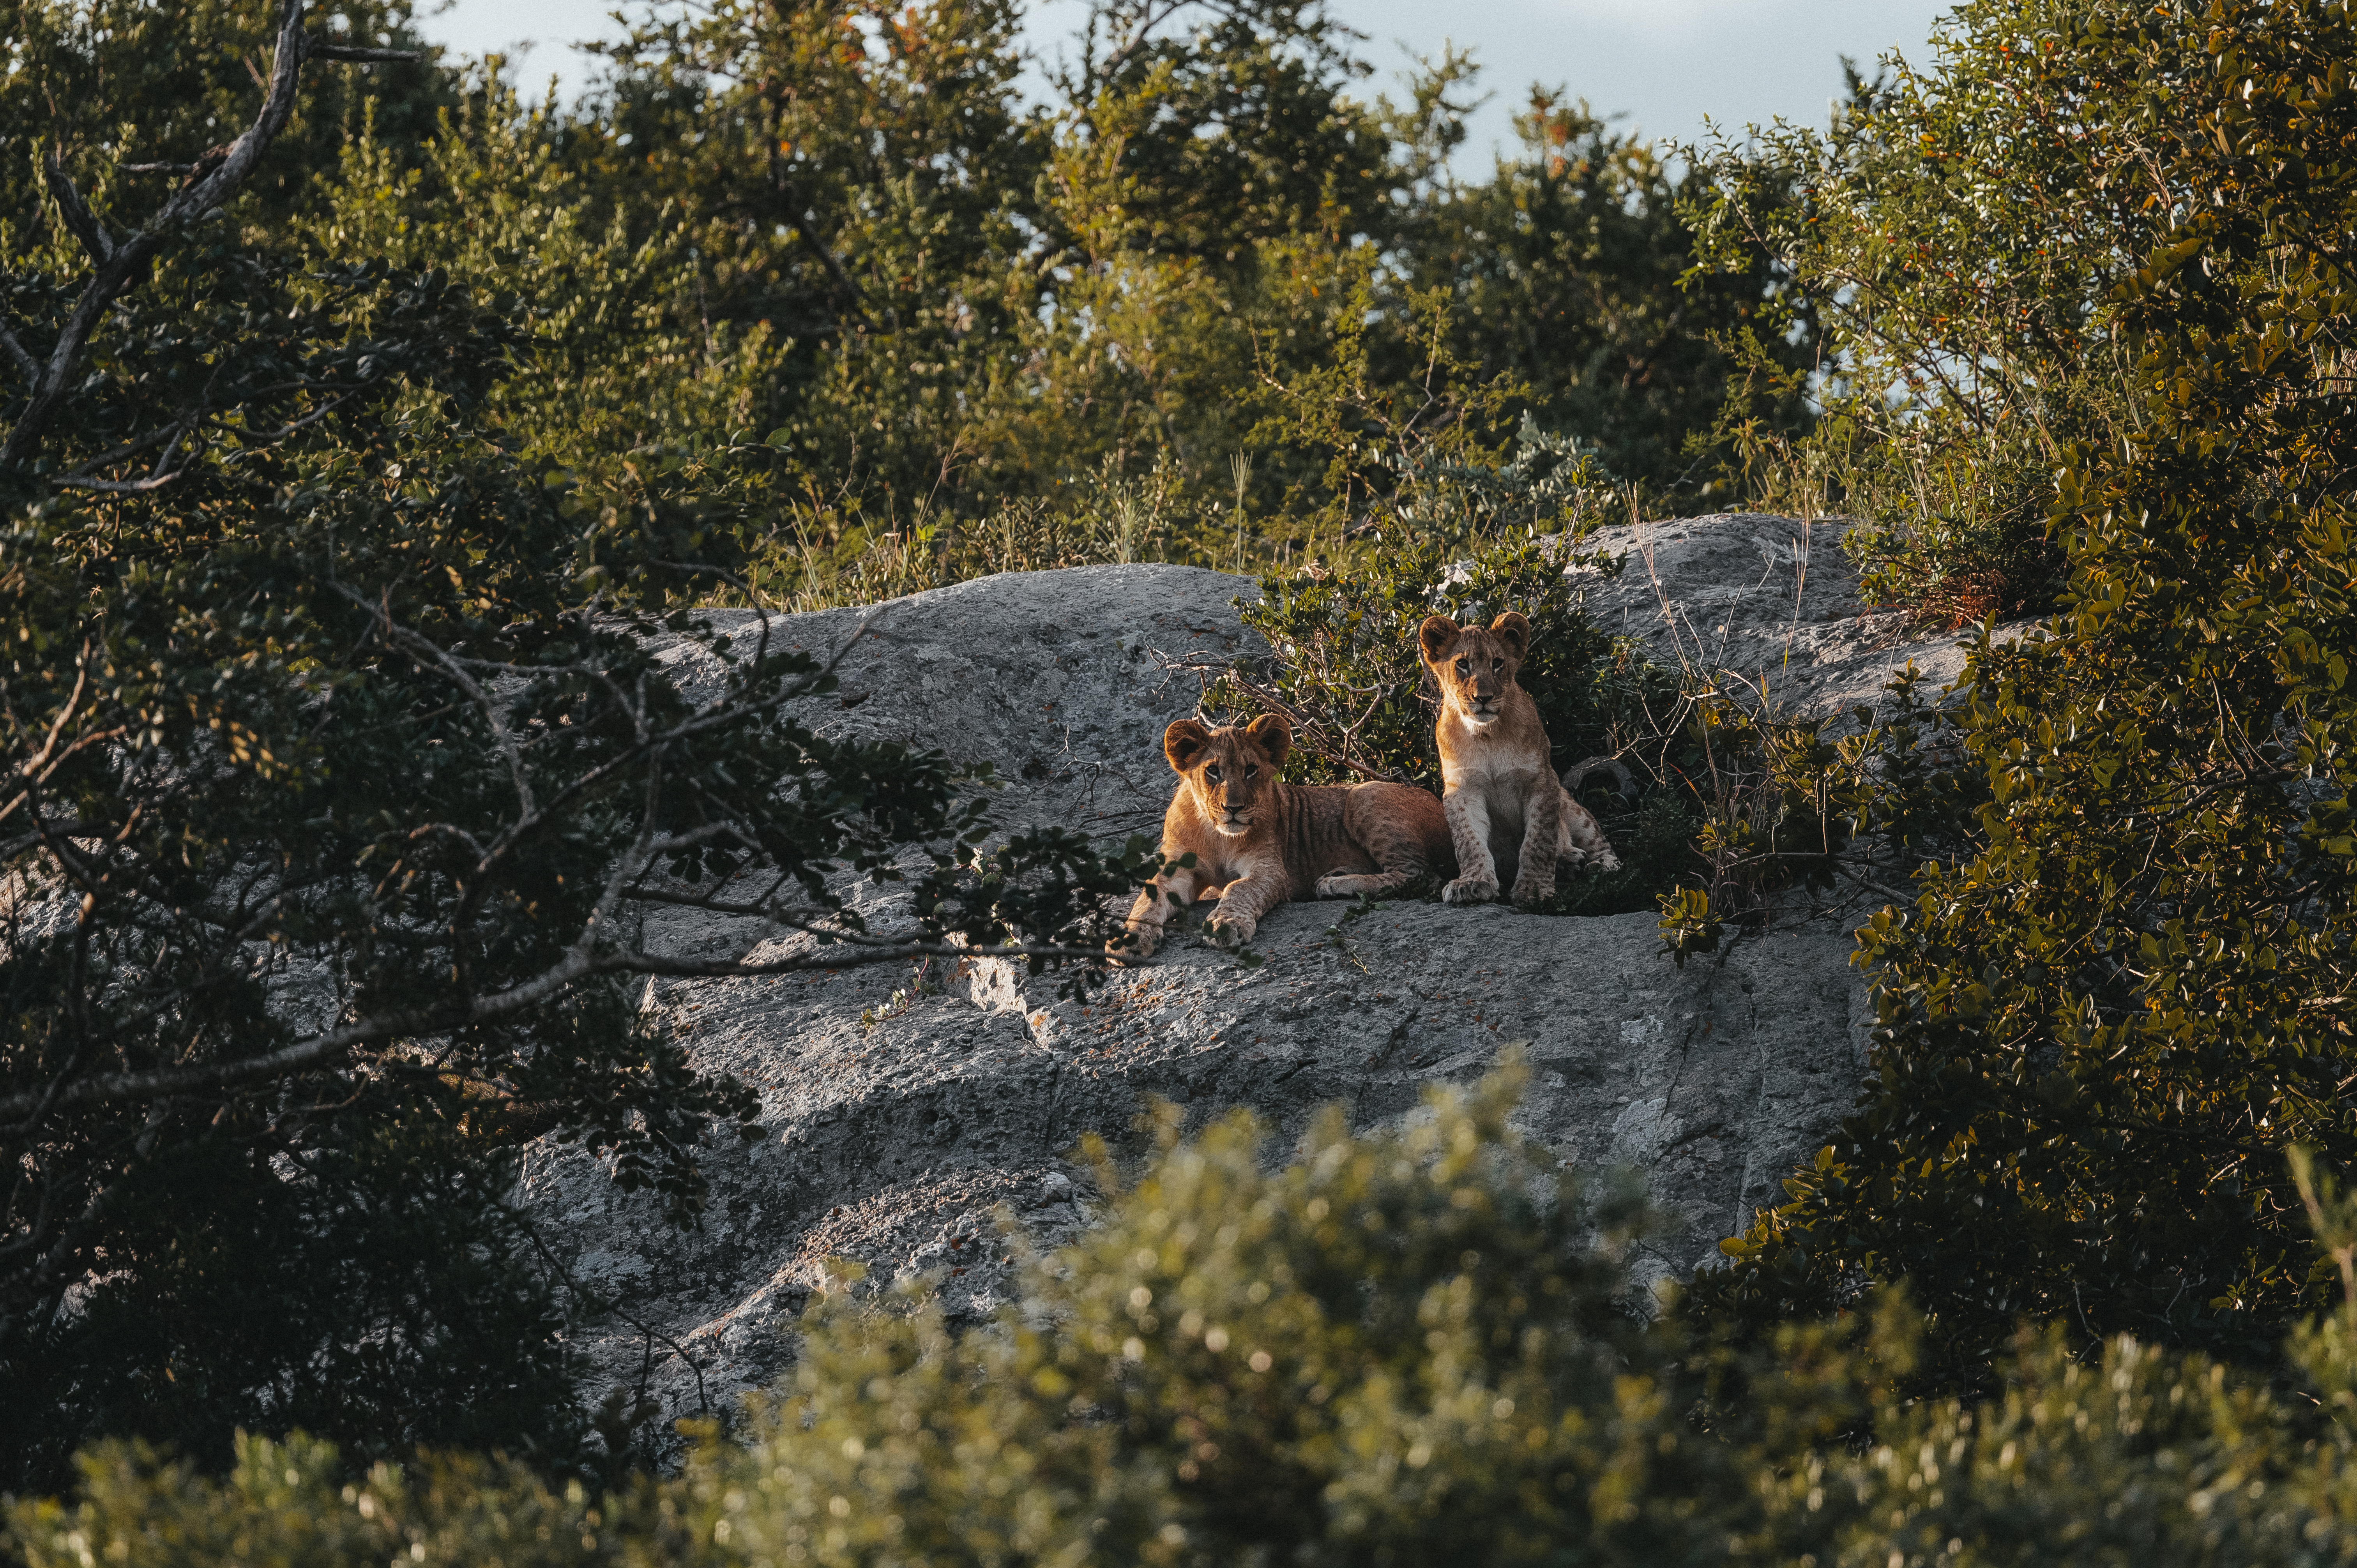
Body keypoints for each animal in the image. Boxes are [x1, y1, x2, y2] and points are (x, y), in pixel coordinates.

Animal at [1119, 713, 1454, 959]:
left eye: (1251, 770)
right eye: (1213, 771)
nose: (1233, 808)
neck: (1217, 835)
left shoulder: (1270, 869)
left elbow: (1240, 889)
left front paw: (1225, 924)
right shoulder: (1176, 871)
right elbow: (1149, 897)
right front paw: (1129, 937)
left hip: (1364, 794)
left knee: (1419, 876)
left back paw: (1334, 885)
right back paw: (1336, 876)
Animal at [1418, 610, 1620, 906]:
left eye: (1498, 663)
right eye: (1463, 664)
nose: (1483, 698)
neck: (1487, 735)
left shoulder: (1541, 781)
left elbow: (1539, 840)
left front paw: (1534, 888)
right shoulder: (1463, 789)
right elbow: (1469, 841)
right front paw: (1472, 883)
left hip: (1571, 806)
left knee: (1598, 841)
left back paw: (1596, 865)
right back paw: (1570, 864)